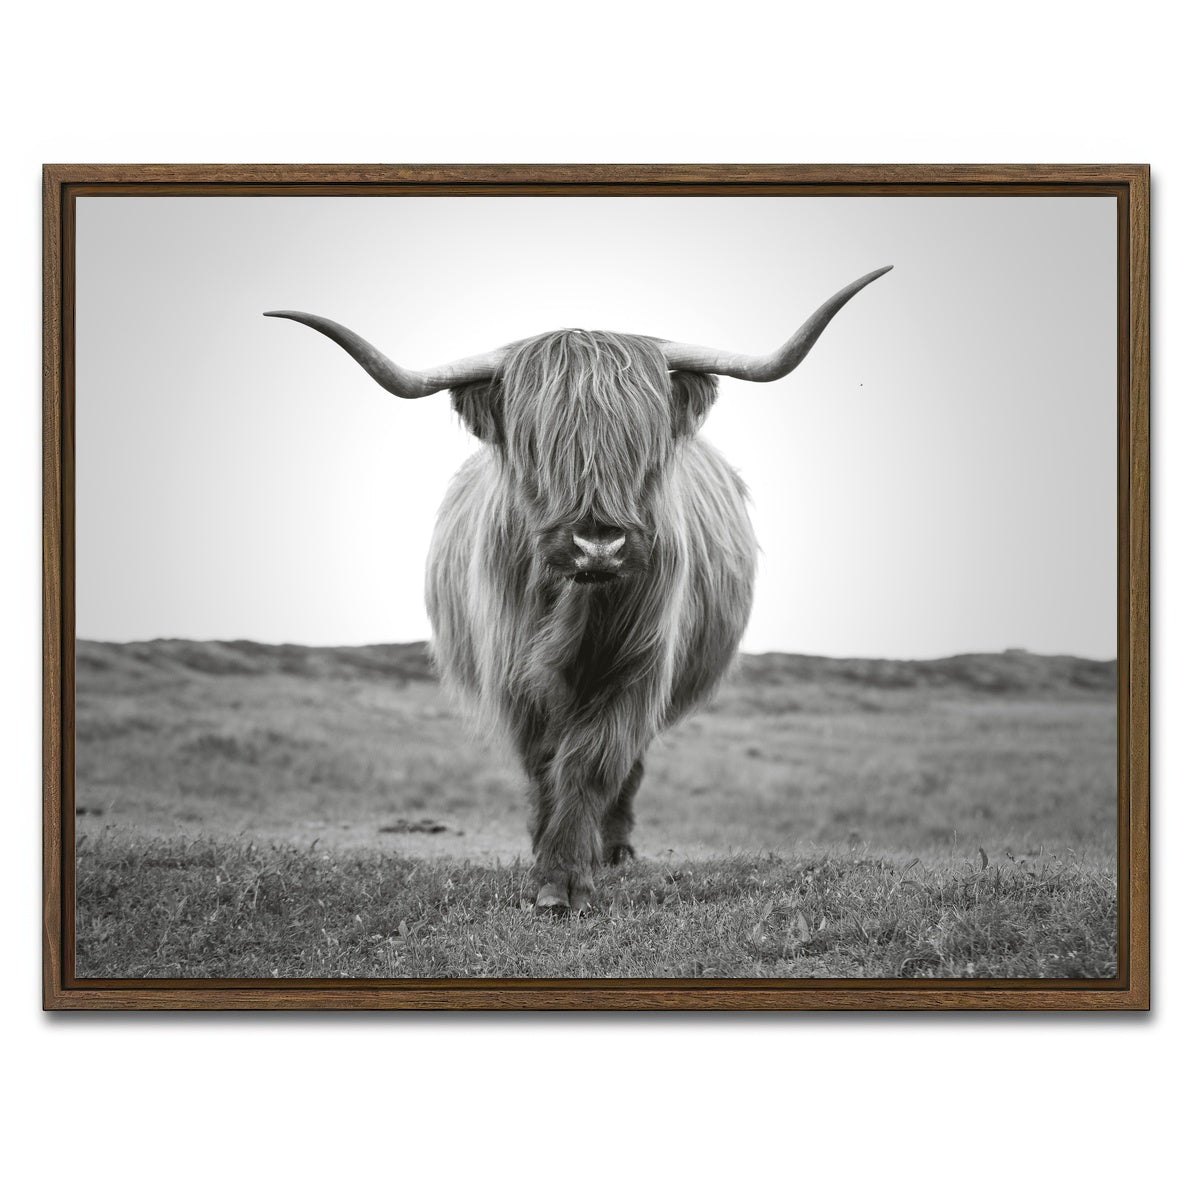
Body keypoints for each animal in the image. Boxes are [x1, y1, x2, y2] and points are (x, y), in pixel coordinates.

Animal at [266, 265, 891, 911]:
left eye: (643, 443)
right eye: (536, 446)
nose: (597, 545)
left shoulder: (637, 668)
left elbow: (593, 761)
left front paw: (567, 875)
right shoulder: (515, 674)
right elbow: (545, 763)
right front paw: (547, 864)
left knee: (628, 768)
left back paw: (613, 850)